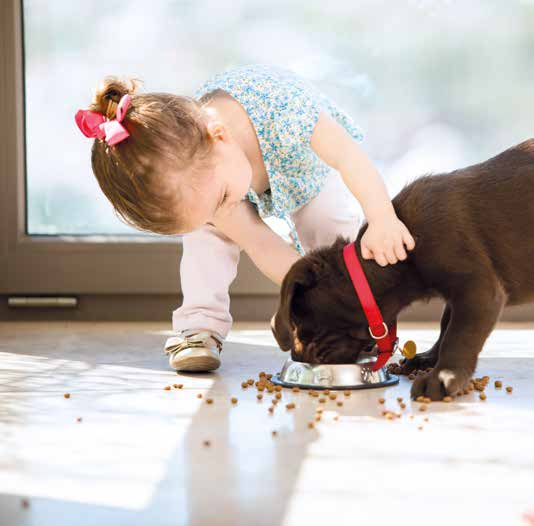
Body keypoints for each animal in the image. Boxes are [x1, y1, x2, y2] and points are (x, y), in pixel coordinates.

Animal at [274, 138, 534, 402]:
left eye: (299, 324)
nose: (298, 358)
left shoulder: (478, 289)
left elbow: (458, 335)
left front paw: (443, 377)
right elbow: (446, 324)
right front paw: (428, 359)